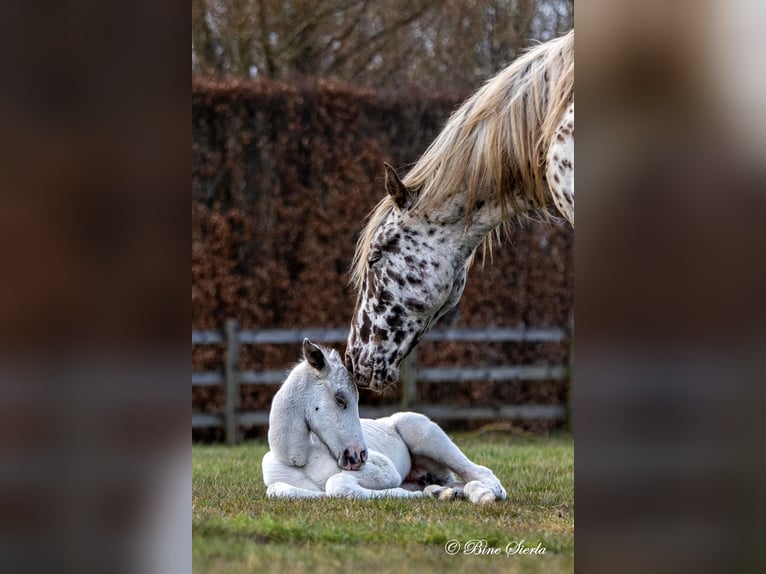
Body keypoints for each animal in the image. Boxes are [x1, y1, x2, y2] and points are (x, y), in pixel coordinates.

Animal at [262, 339, 507, 504]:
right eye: (340, 399)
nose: (359, 456)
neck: (300, 460)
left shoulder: (385, 469)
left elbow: (337, 483)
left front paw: (407, 495)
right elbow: (279, 490)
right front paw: (429, 493)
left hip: (423, 431)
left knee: (479, 473)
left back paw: (487, 494)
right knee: (452, 483)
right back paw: (445, 492)